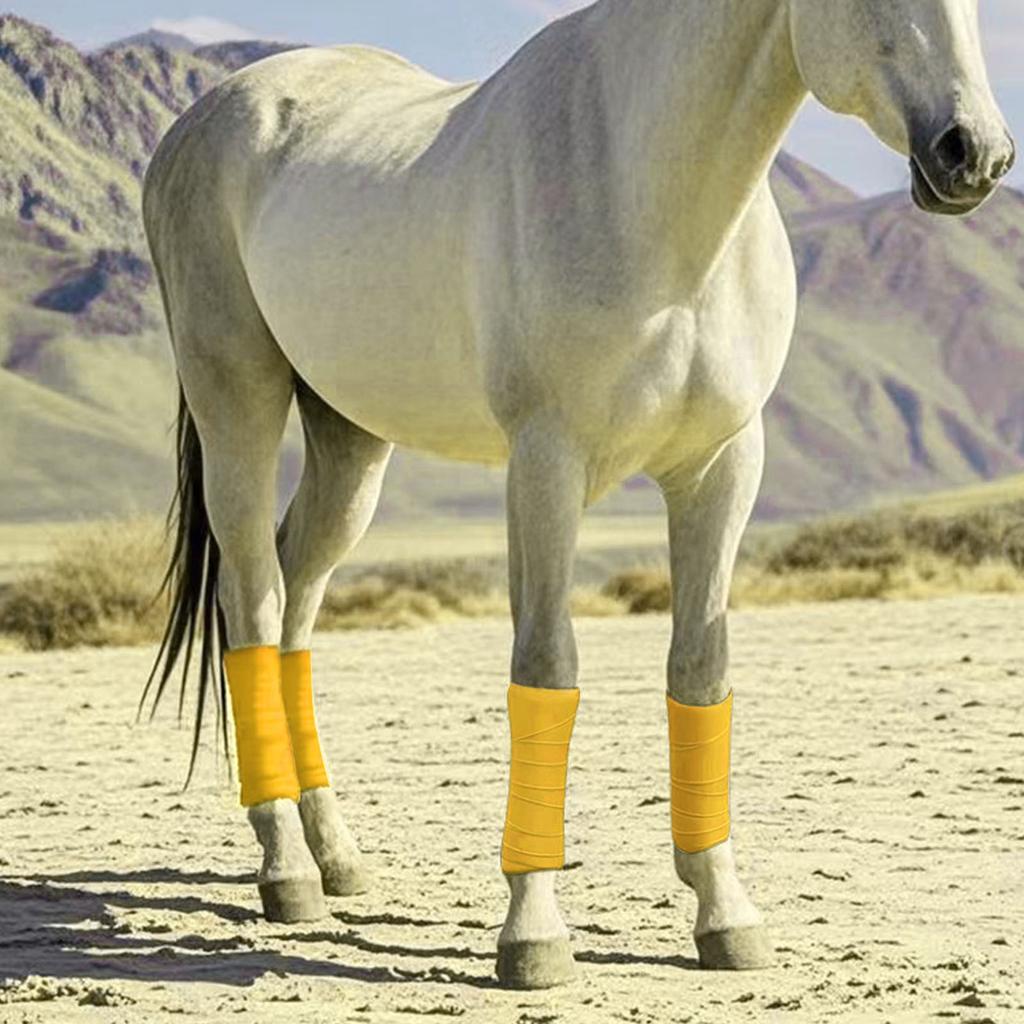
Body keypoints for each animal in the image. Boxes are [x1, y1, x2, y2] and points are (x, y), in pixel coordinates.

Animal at [140, 0, 1014, 990]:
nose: (975, 157)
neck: (652, 198)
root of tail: (198, 123)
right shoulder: (546, 462)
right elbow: (546, 670)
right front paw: (533, 934)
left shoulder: (722, 467)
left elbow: (699, 672)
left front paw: (726, 916)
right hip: (238, 401)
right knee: (252, 600)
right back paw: (285, 871)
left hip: (350, 440)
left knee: (296, 603)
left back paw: (336, 857)